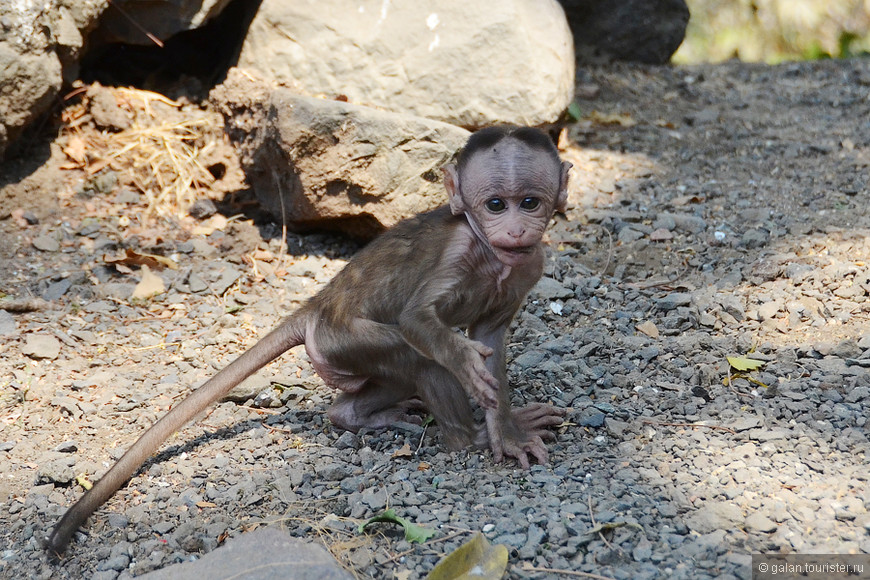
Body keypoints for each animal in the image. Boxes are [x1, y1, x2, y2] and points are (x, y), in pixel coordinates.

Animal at [49, 125, 580, 556]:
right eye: (495, 204)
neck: (495, 258)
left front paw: (508, 429)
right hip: (340, 339)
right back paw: (465, 438)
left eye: (529, 202)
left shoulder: (530, 265)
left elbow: (491, 340)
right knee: (420, 360)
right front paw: (474, 384)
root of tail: (318, 304)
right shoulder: (459, 249)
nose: (516, 228)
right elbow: (421, 322)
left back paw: (357, 416)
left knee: (388, 381)